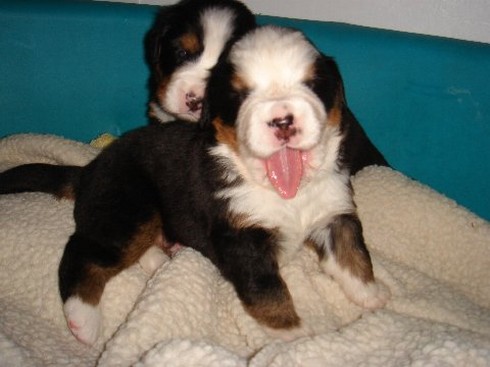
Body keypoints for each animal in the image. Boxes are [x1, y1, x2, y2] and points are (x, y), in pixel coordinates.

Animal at [49, 25, 388, 344]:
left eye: (311, 84)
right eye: (241, 95)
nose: (282, 121)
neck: (286, 194)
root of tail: (91, 167)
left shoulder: (334, 213)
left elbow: (353, 256)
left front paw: (371, 296)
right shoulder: (242, 238)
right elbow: (268, 290)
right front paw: (294, 333)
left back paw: (158, 261)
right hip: (130, 208)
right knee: (82, 253)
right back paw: (83, 319)